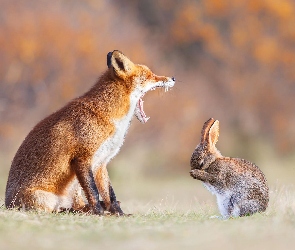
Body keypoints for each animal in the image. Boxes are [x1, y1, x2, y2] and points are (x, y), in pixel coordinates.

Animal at [5, 50, 176, 215]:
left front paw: (118, 214)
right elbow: (93, 192)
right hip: (44, 199)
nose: (173, 78)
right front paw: (99, 213)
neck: (109, 117)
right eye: (150, 75)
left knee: (77, 206)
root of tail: (7, 204)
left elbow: (110, 195)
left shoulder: (101, 162)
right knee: (56, 210)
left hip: (74, 189)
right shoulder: (82, 158)